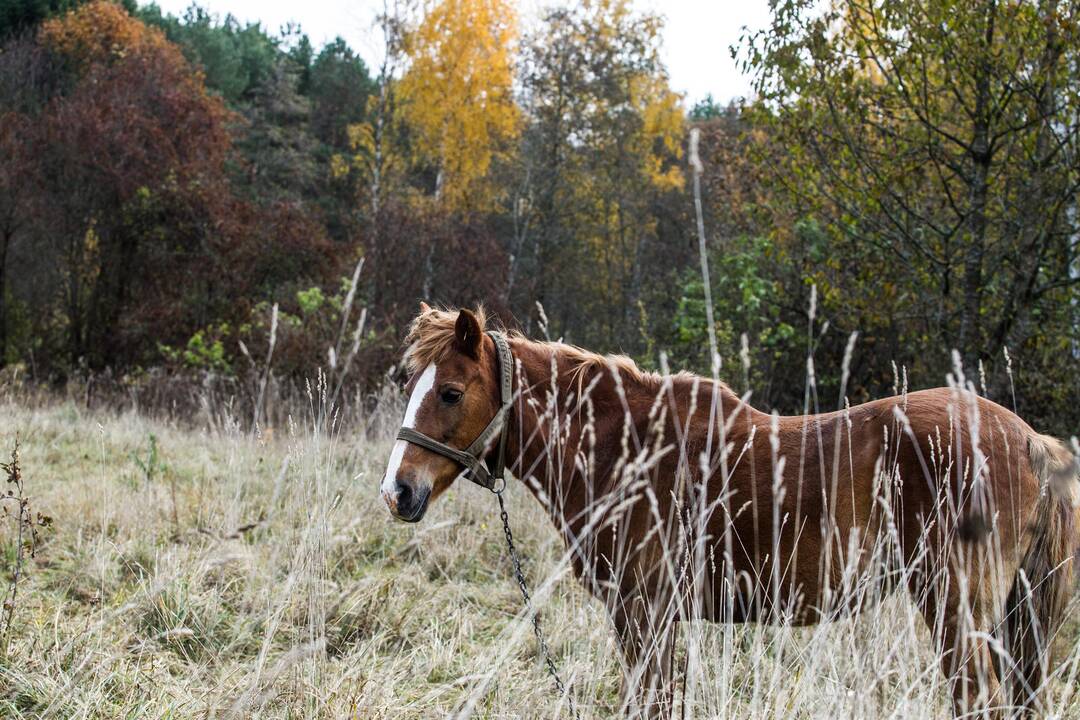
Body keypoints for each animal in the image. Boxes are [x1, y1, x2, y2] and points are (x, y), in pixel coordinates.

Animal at [378, 306, 1071, 720]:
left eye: (450, 392)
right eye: (410, 386)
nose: (398, 492)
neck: (629, 446)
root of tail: (1033, 442)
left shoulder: (645, 612)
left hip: (956, 609)